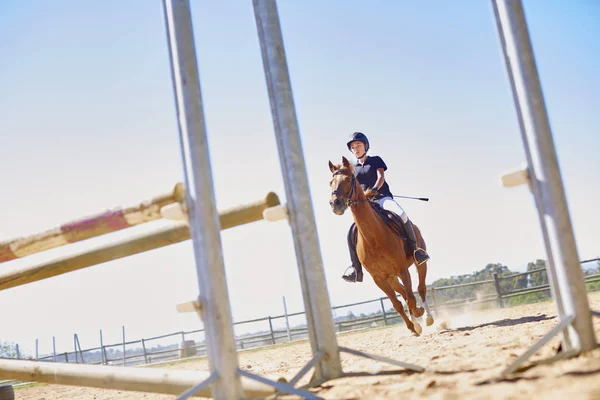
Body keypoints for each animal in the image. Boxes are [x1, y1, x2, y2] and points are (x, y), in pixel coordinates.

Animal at [330, 155, 434, 334]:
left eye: (348, 179)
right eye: (331, 182)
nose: (334, 203)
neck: (373, 238)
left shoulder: (402, 270)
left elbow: (411, 298)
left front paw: (418, 315)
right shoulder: (378, 278)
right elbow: (397, 303)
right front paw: (412, 327)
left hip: (418, 264)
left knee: (420, 288)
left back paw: (427, 317)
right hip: (391, 277)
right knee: (404, 294)